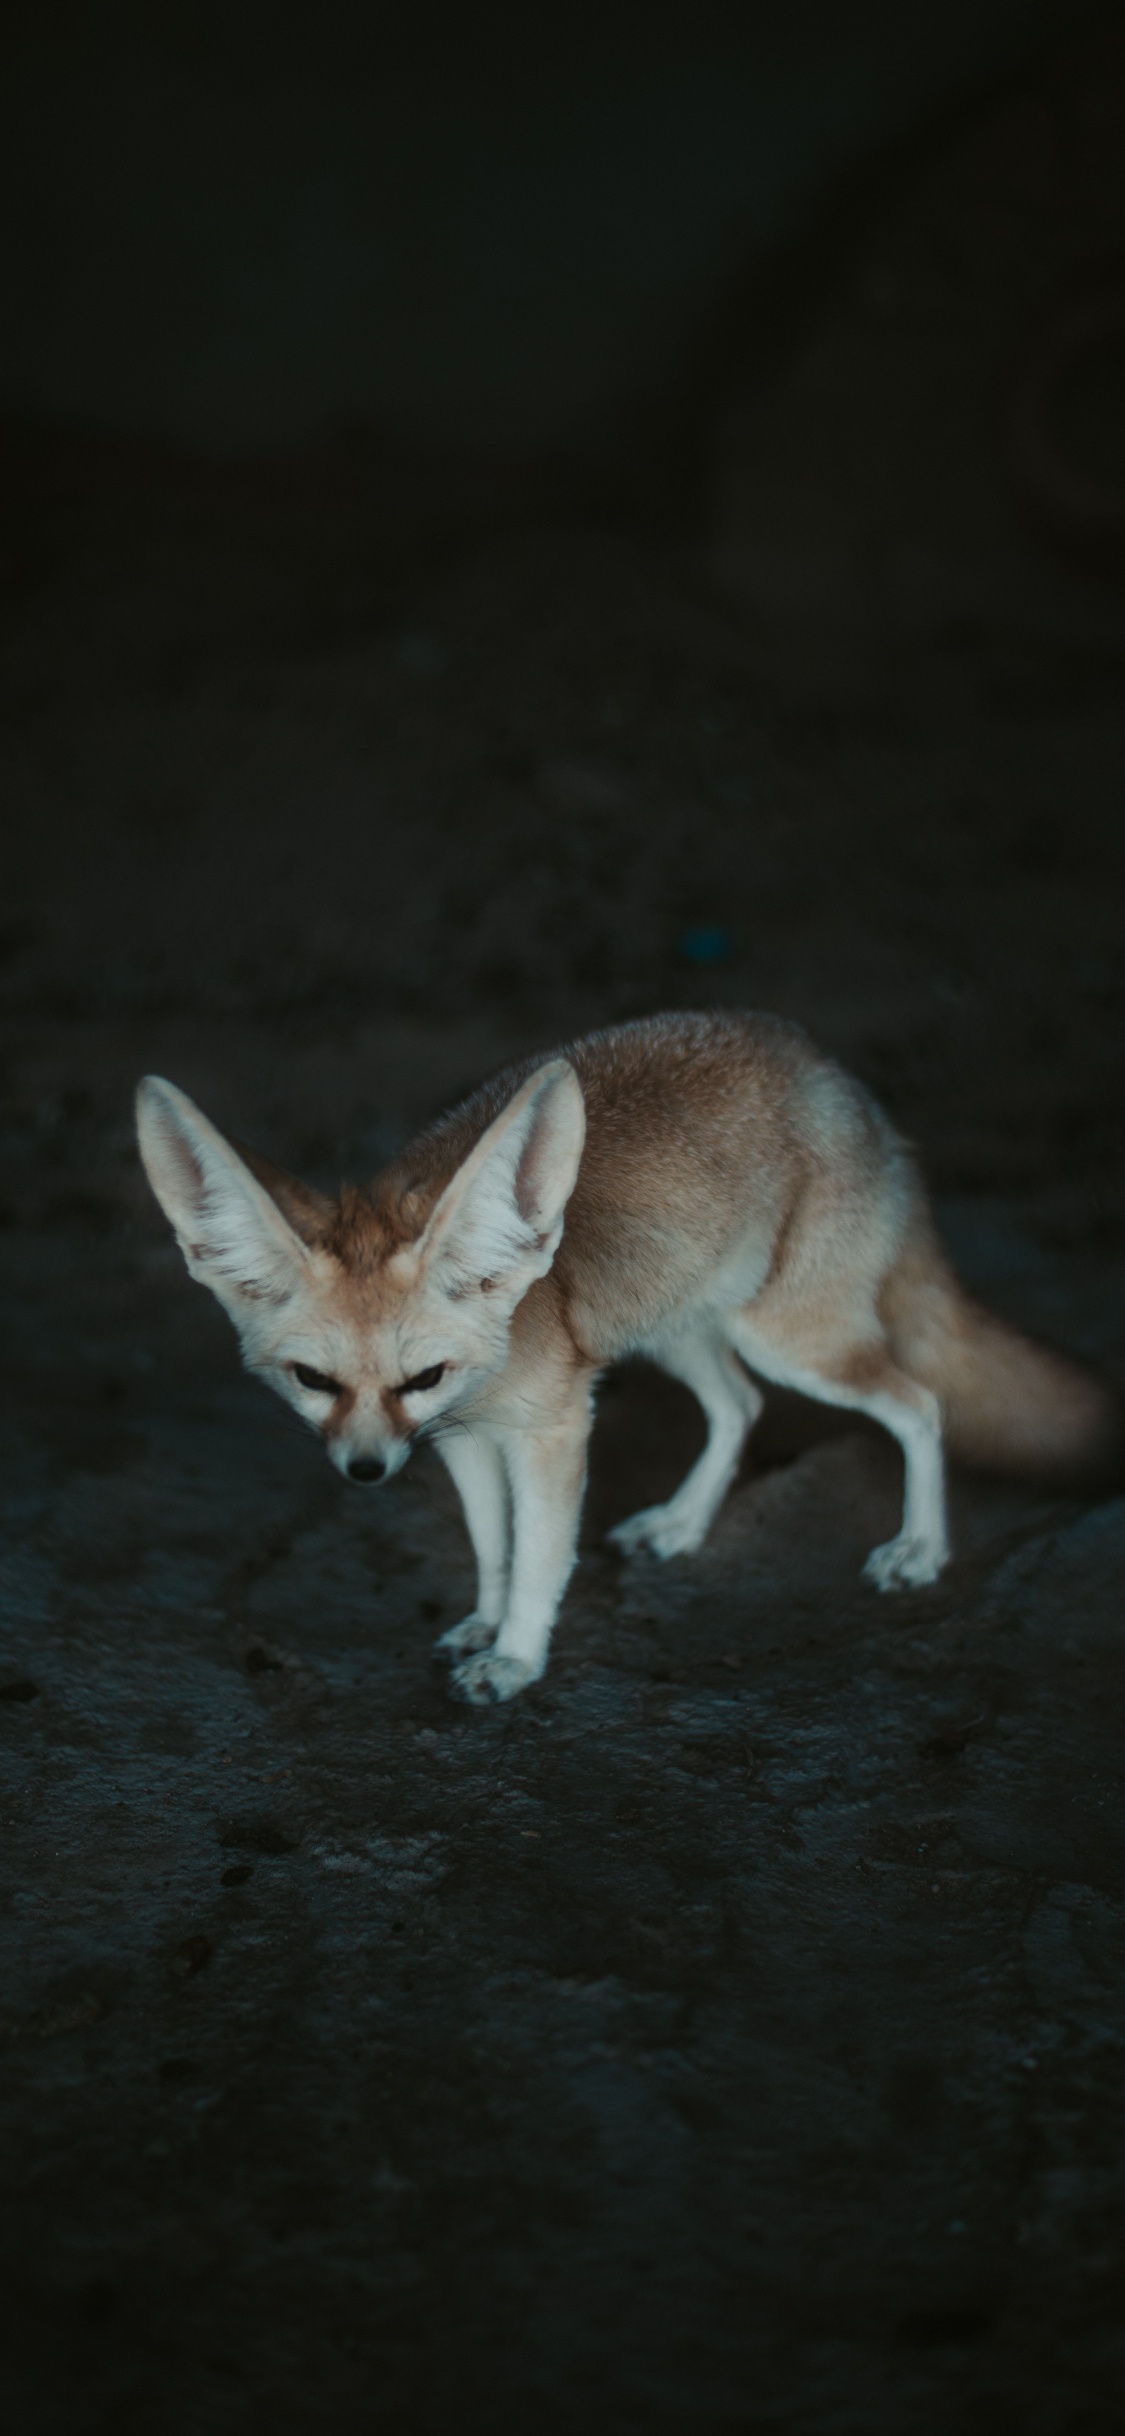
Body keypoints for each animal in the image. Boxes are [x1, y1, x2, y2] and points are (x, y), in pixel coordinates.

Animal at [136, 1010, 1118, 1705]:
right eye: (313, 1381)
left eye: (422, 1376)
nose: (365, 1472)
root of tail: (844, 1085)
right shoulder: (462, 1438)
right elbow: (491, 1546)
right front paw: (485, 1621)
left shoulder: (550, 1429)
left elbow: (539, 1555)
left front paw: (516, 1656)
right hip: (679, 1330)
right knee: (740, 1408)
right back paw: (682, 1524)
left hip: (788, 1341)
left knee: (918, 1404)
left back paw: (919, 1548)